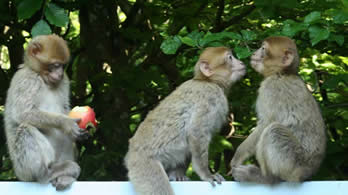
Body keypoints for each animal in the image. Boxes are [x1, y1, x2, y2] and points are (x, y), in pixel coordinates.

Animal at [125, 46, 245, 194]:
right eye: (230, 58)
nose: (241, 62)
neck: (208, 81)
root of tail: (130, 154)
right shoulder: (210, 95)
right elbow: (196, 132)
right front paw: (206, 174)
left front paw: (179, 174)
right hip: (144, 164)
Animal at [230, 36, 324, 184]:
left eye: (263, 48)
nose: (254, 53)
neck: (282, 73)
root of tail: (307, 173)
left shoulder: (270, 88)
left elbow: (265, 124)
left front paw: (237, 157)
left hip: (293, 163)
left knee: (273, 130)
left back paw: (266, 178)